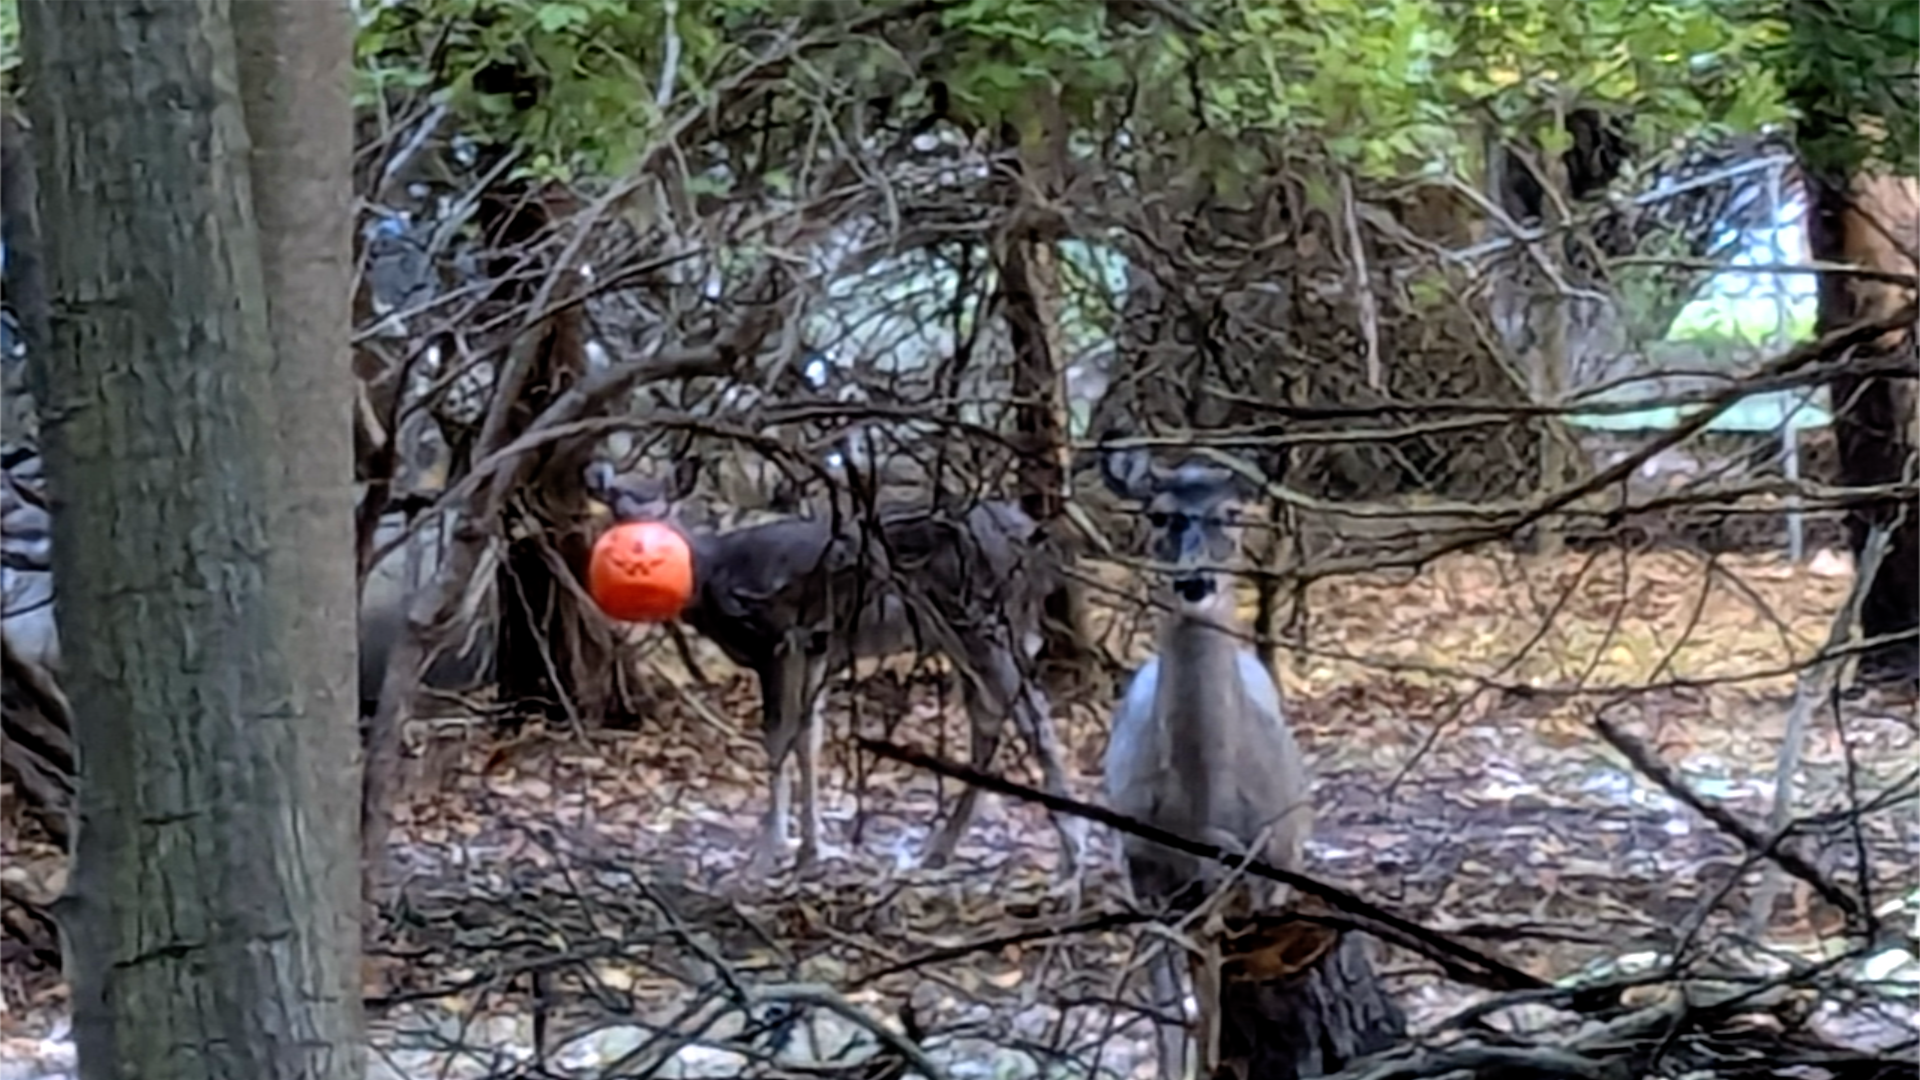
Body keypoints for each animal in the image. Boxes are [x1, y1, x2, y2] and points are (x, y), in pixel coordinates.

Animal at [583, 455, 1086, 886]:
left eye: (665, 505)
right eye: (616, 505)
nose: (640, 548)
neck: (715, 575)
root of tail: (1036, 545)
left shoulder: (779, 638)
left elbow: (779, 740)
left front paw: (764, 858)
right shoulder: (817, 648)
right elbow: (810, 738)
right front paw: (812, 851)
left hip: (983, 617)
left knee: (1033, 718)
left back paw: (1070, 859)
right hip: (968, 631)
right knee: (991, 720)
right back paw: (940, 850)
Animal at [1098, 445, 1314, 1079]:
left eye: (1233, 513)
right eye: (1158, 515)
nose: (1195, 580)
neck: (1202, 807)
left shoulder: (1268, 865)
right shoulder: (1143, 873)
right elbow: (1172, 1015)